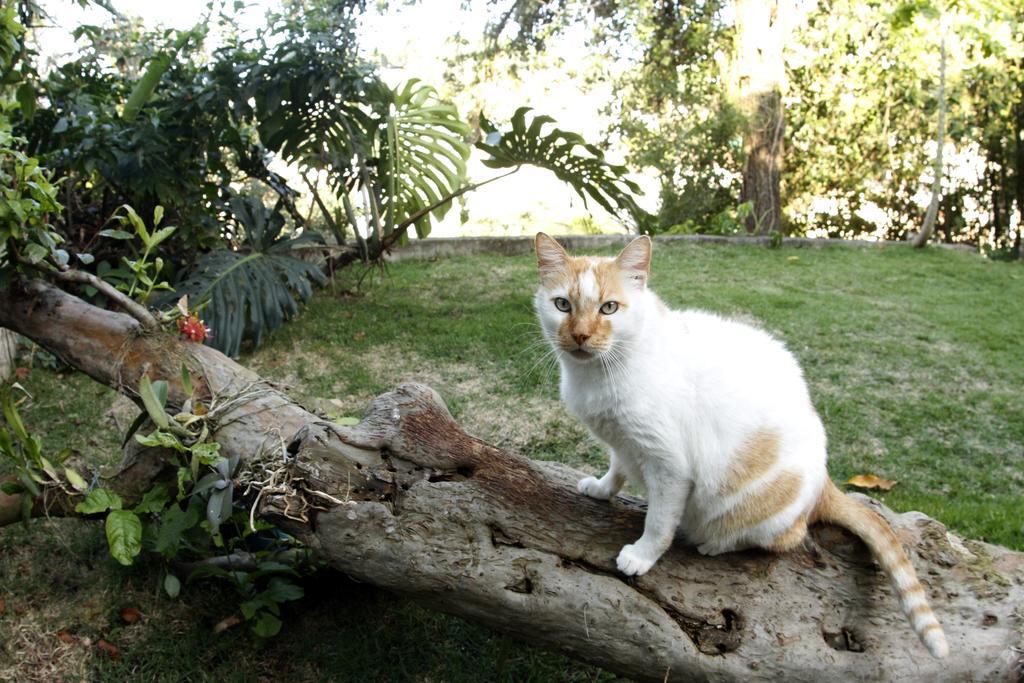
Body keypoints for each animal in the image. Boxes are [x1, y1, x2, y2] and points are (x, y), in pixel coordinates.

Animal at [536, 232, 950, 659]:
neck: (600, 374)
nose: (580, 336)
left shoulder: (669, 467)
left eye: (609, 308)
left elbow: (659, 523)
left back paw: (716, 544)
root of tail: (824, 480)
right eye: (563, 305)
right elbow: (617, 468)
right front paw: (601, 489)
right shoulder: (624, 442)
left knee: (786, 537)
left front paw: (642, 555)